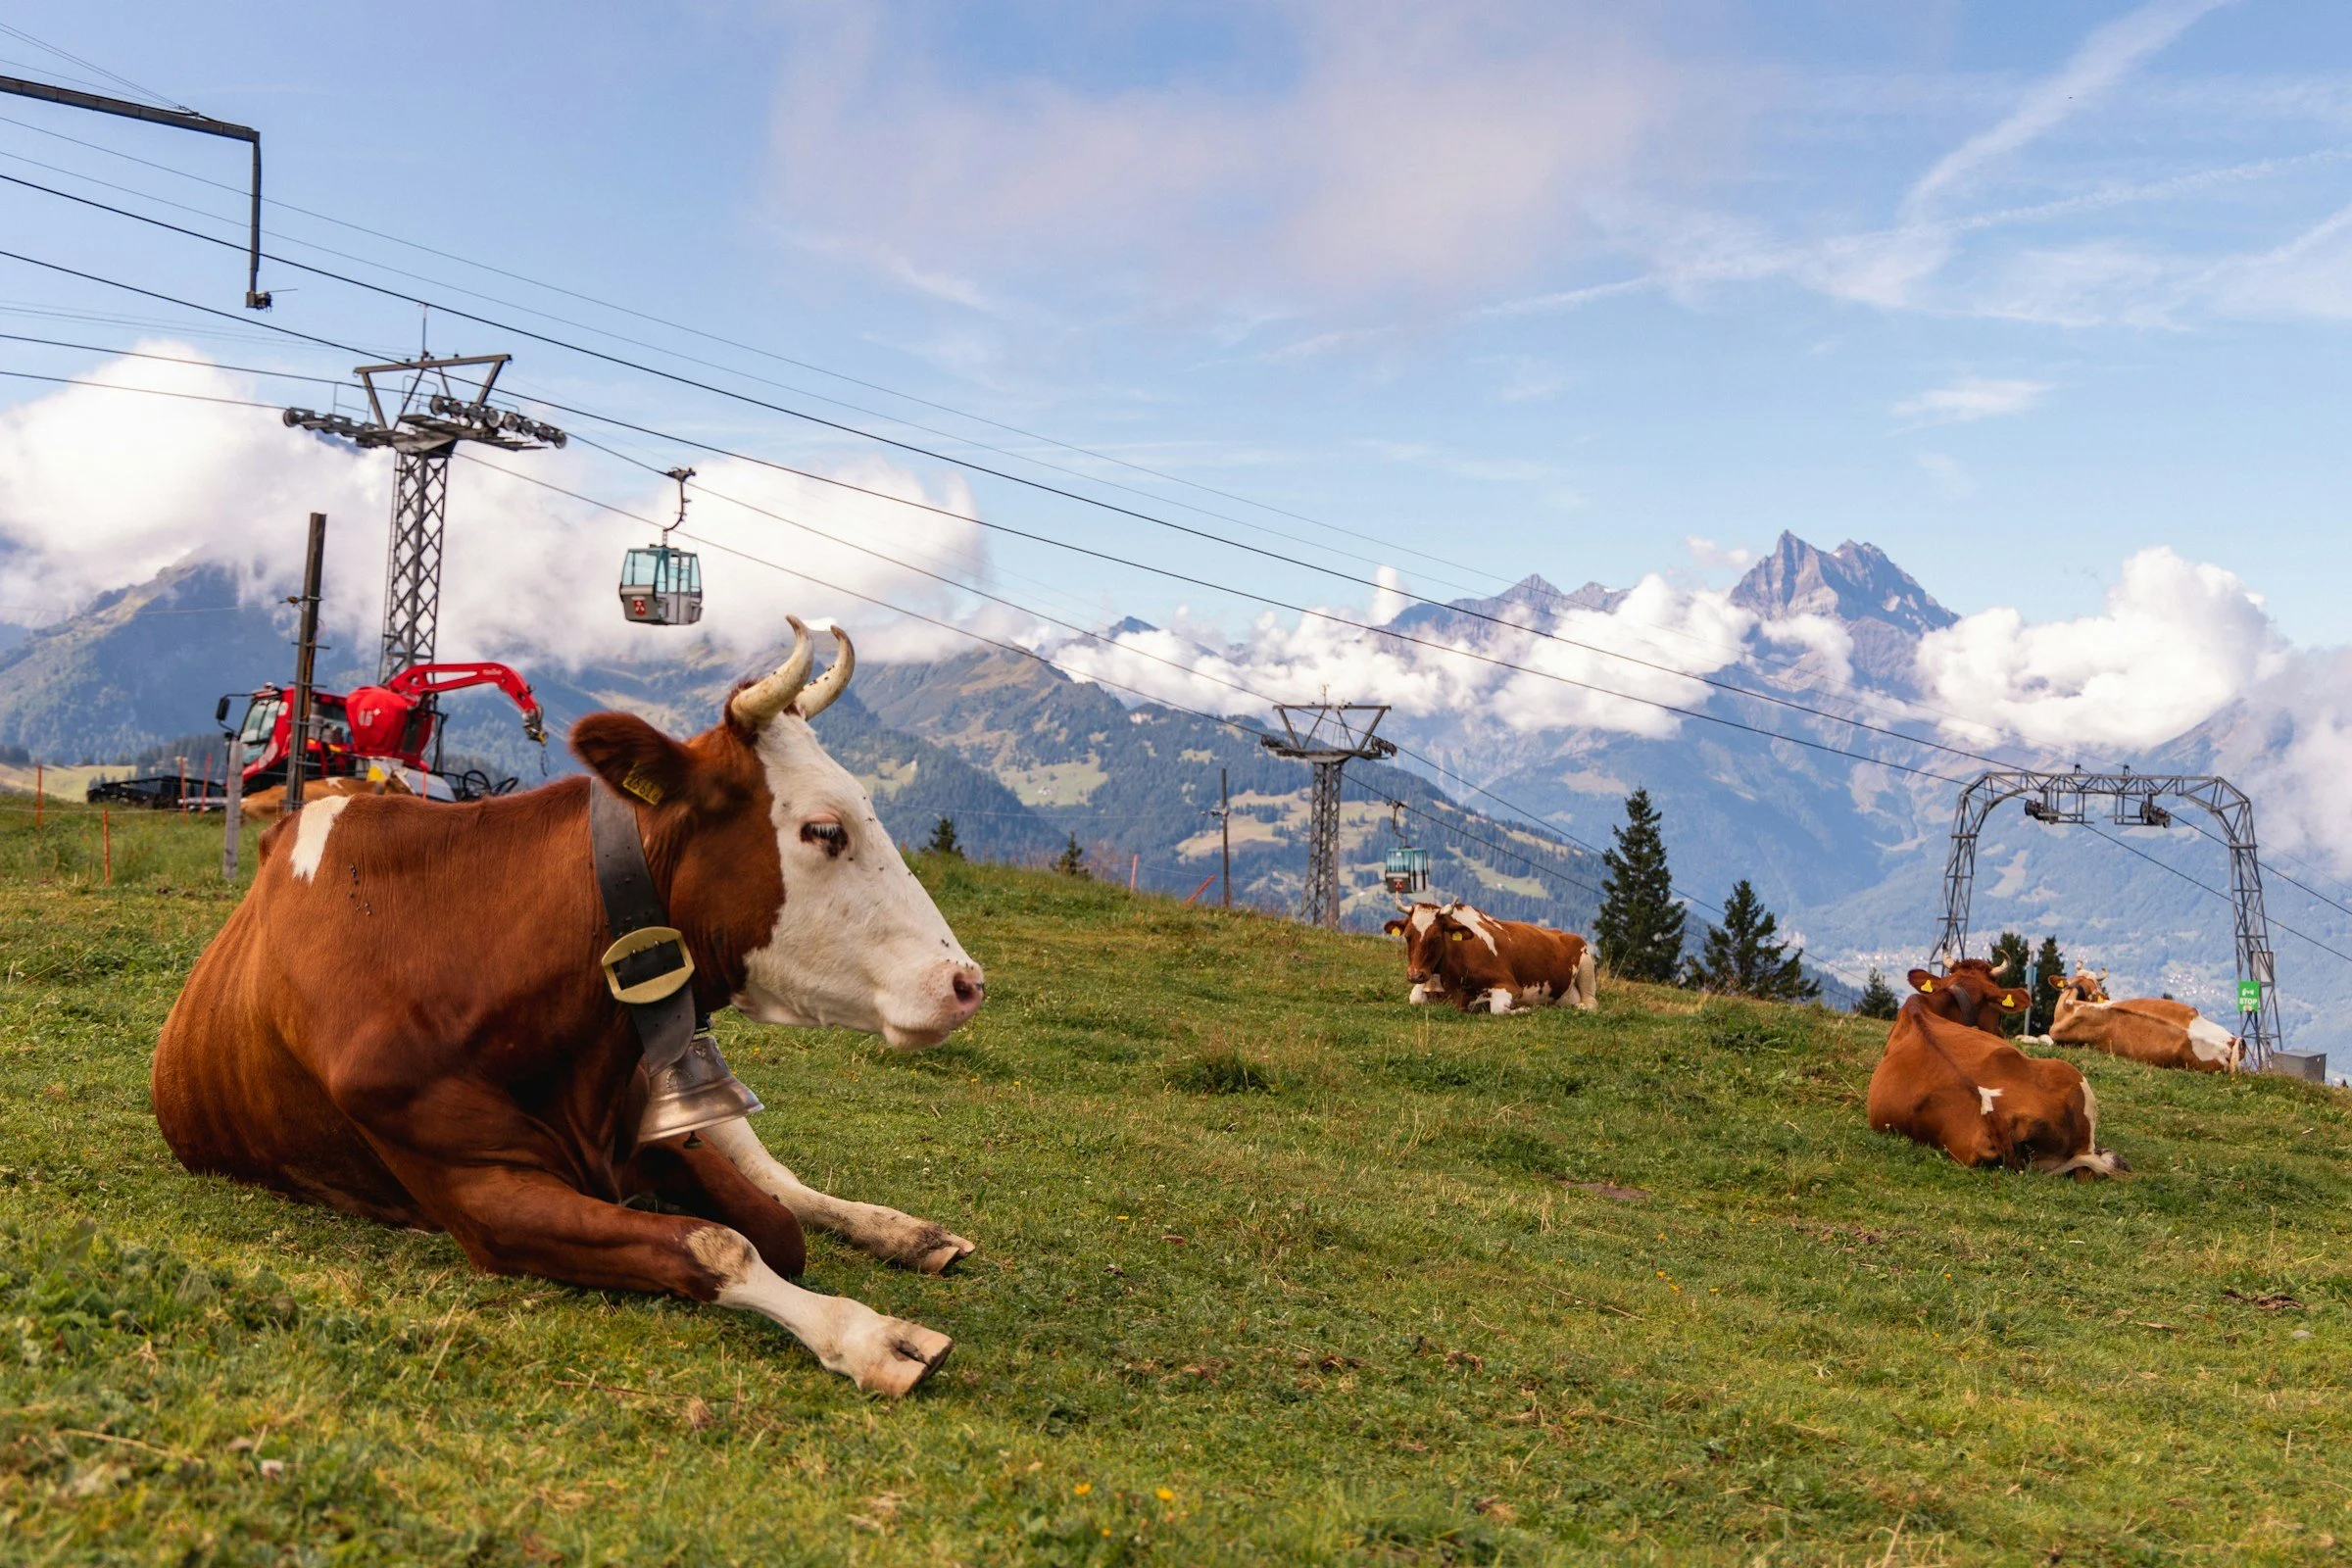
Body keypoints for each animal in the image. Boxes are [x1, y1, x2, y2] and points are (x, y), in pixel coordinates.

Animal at [153, 620, 987, 1396]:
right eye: (823, 830)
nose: (965, 983)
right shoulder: (482, 1194)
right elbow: (720, 1244)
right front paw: (874, 1335)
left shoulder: (650, 1134)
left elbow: (775, 1225)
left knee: (780, 1178)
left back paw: (909, 1232)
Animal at [1381, 900, 1597, 1014]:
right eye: (1408, 936)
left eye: (1435, 937)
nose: (1415, 975)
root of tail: (1562, 933)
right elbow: (1415, 998)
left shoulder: (1510, 985)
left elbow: (1499, 1009)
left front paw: (1523, 1009)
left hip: (1586, 964)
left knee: (1591, 1004)